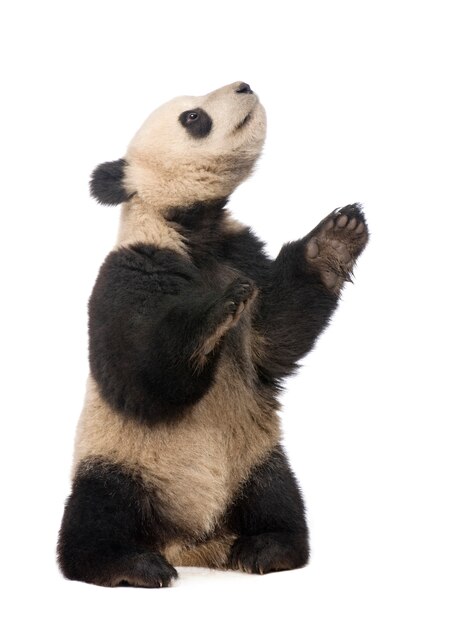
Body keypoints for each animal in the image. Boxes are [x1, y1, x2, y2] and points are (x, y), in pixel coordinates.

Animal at [58, 79, 368, 584]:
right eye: (193, 118)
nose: (244, 85)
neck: (191, 228)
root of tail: (190, 543)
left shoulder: (240, 253)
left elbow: (276, 332)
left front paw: (334, 239)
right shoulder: (129, 269)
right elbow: (139, 377)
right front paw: (216, 308)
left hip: (255, 458)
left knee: (278, 498)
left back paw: (265, 548)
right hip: (122, 458)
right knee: (99, 511)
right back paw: (132, 564)